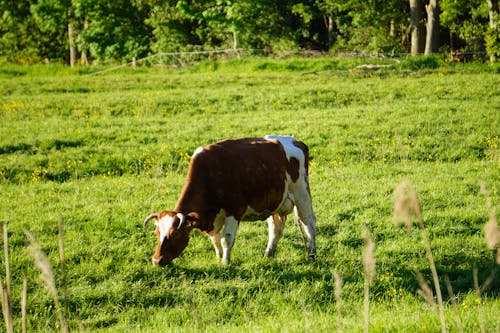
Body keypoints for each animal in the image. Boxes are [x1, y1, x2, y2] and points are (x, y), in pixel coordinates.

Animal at [143, 134, 316, 266]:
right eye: (157, 233)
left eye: (175, 234)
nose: (156, 260)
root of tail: (294, 141)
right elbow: (215, 240)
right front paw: (219, 257)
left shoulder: (234, 210)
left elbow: (226, 239)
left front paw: (225, 262)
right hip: (275, 202)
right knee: (275, 228)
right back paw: (268, 254)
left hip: (301, 192)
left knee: (308, 222)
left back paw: (312, 253)